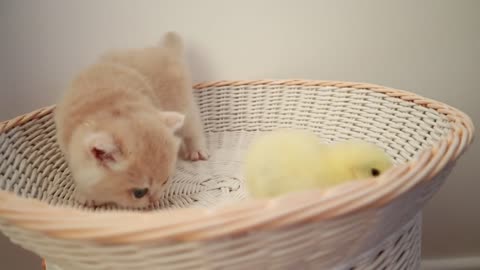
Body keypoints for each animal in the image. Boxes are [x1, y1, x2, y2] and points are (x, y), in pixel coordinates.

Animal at [54, 32, 208, 209]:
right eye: (139, 193)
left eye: (165, 182)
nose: (155, 200)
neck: (108, 106)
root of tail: (164, 49)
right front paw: (85, 194)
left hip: (183, 104)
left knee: (193, 127)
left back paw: (197, 150)